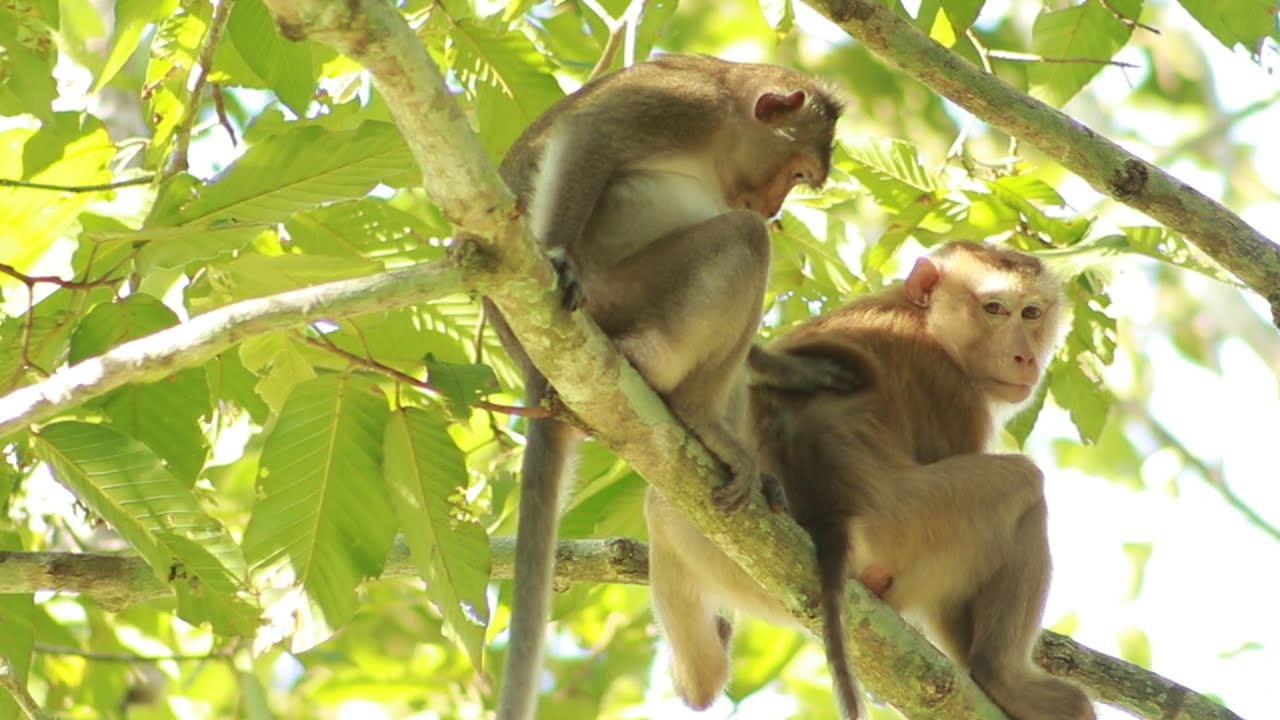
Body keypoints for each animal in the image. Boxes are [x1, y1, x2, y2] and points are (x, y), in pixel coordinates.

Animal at [485, 54, 843, 720]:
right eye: (798, 172)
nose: (774, 205)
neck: (726, 117)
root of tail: (537, 374)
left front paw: (791, 369)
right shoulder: (683, 103)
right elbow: (590, 136)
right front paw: (557, 256)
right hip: (623, 296)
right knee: (744, 240)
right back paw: (688, 406)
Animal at [647, 242, 1095, 720]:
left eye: (1031, 313)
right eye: (994, 308)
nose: (1024, 357)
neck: (922, 319)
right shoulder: (953, 391)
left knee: (660, 509)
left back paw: (701, 675)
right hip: (904, 526)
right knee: (1024, 487)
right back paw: (1001, 675)